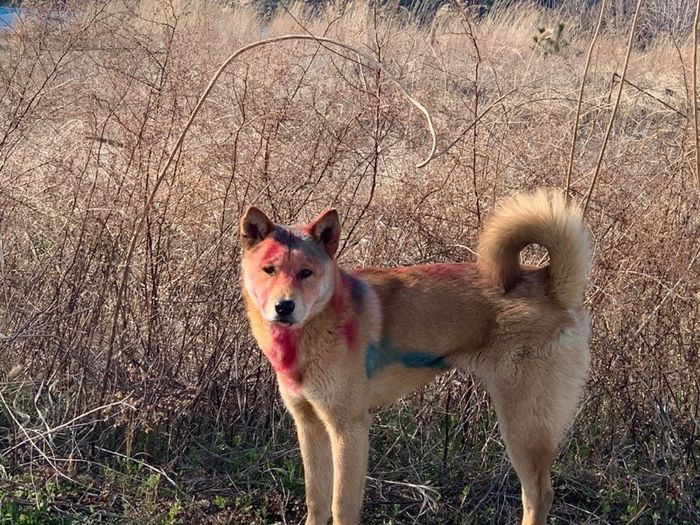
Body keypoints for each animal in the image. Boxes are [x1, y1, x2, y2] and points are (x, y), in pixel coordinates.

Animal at [241, 191, 592, 524]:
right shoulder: (309, 424)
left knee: (539, 495)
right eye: (269, 270)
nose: (284, 307)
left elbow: (341, 506)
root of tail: (550, 284)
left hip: (523, 425)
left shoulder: (348, 428)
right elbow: (316, 500)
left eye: (306, 273)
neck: (318, 325)